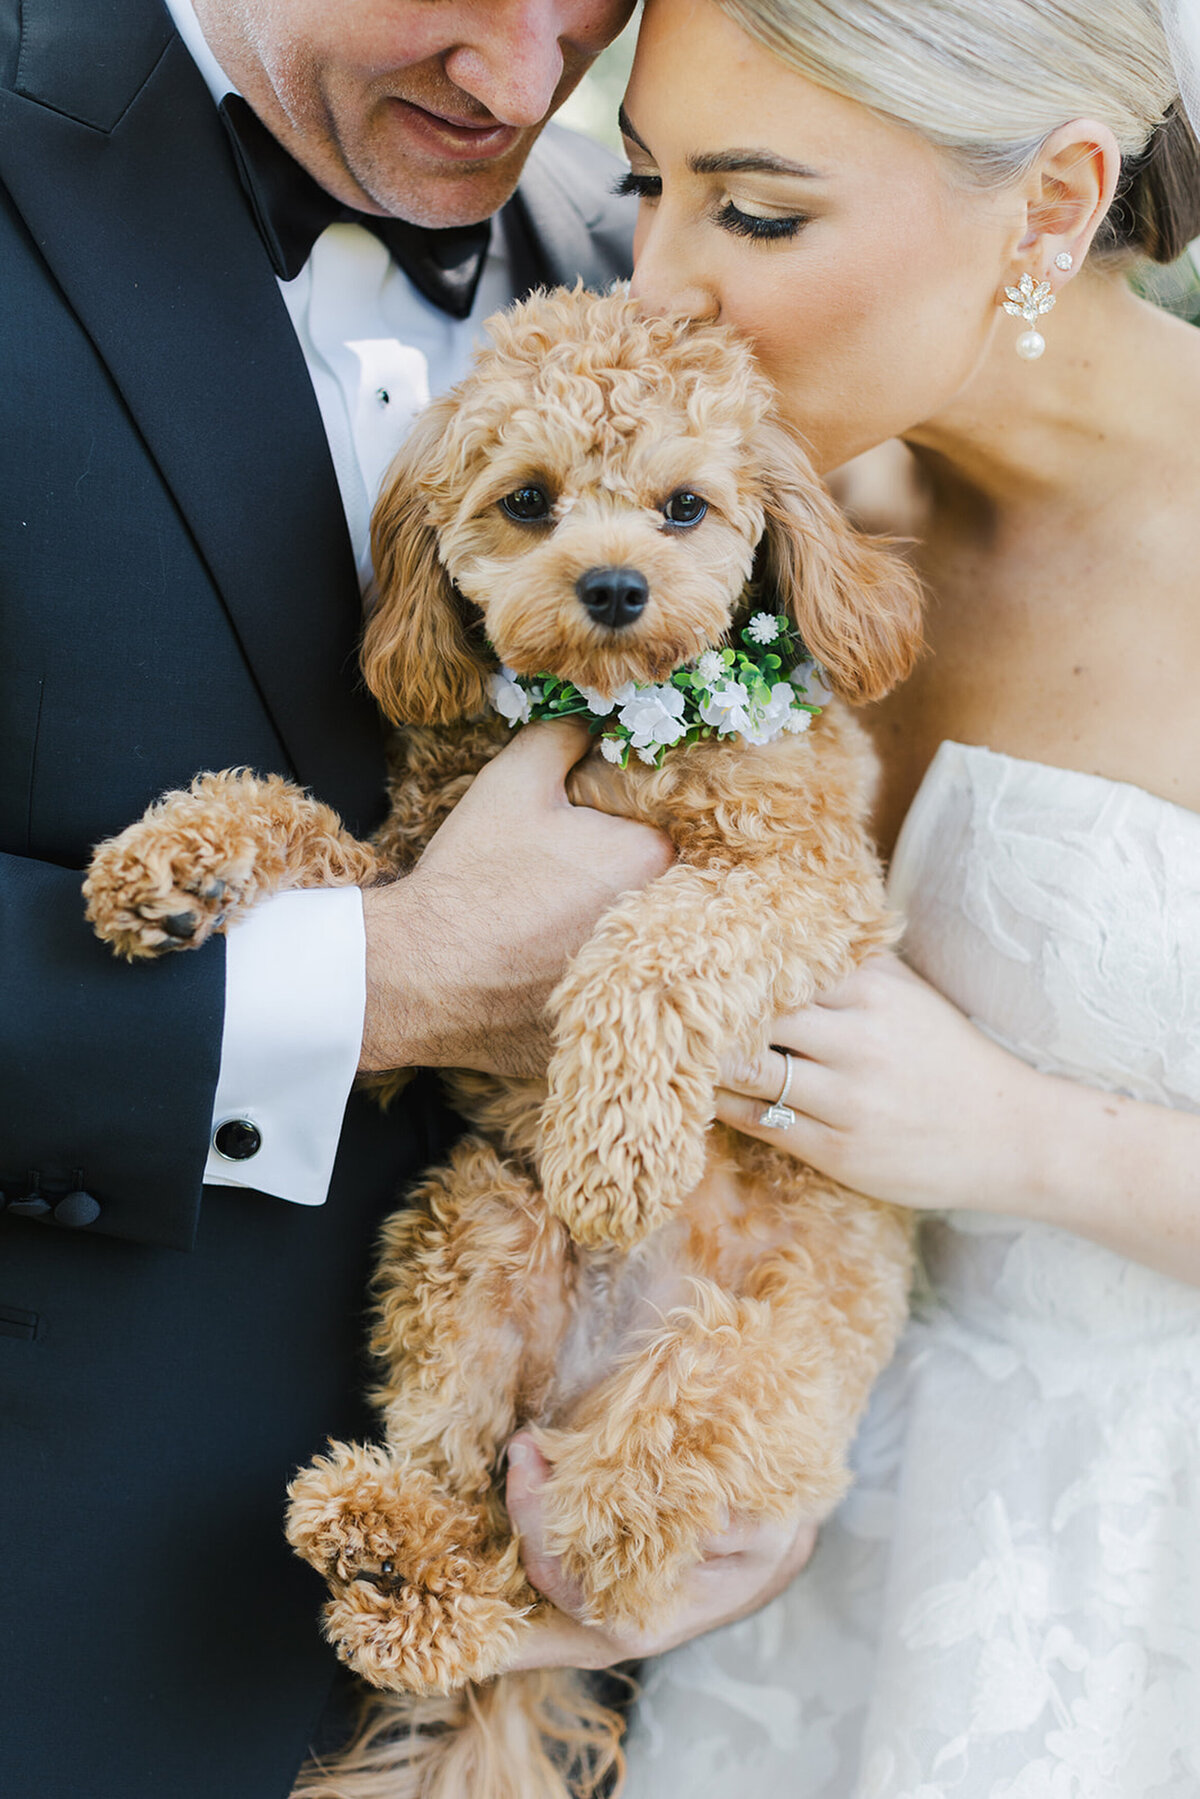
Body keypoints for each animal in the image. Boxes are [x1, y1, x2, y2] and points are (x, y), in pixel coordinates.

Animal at [84, 287, 928, 1791]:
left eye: (685, 506)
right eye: (529, 499)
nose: (614, 588)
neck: (617, 723)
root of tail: (588, 1375)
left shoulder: (803, 883)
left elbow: (655, 943)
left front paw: (615, 1152)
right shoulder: (417, 884)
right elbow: (298, 828)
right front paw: (168, 862)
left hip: (738, 1387)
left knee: (581, 1560)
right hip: (474, 1234)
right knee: (471, 1527)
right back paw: (382, 1537)